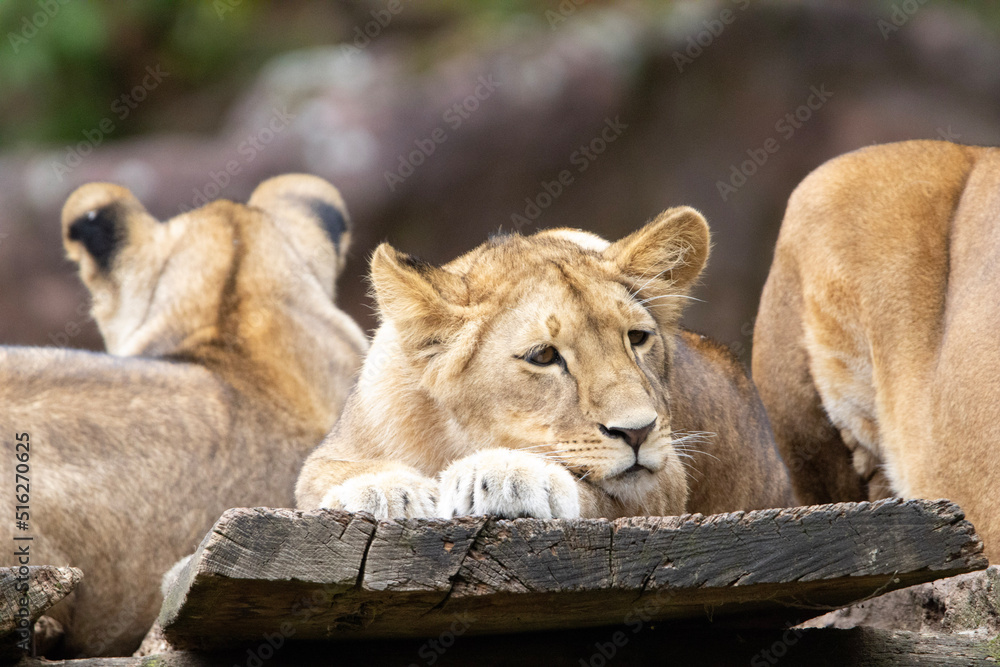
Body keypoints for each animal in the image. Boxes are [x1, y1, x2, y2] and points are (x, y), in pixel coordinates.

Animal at [296, 207, 793, 520]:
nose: (637, 432)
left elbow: (592, 495)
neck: (455, 434)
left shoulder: (666, 477)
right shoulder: (332, 452)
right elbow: (324, 474)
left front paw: (508, 474)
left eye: (636, 338)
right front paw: (383, 490)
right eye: (544, 356)